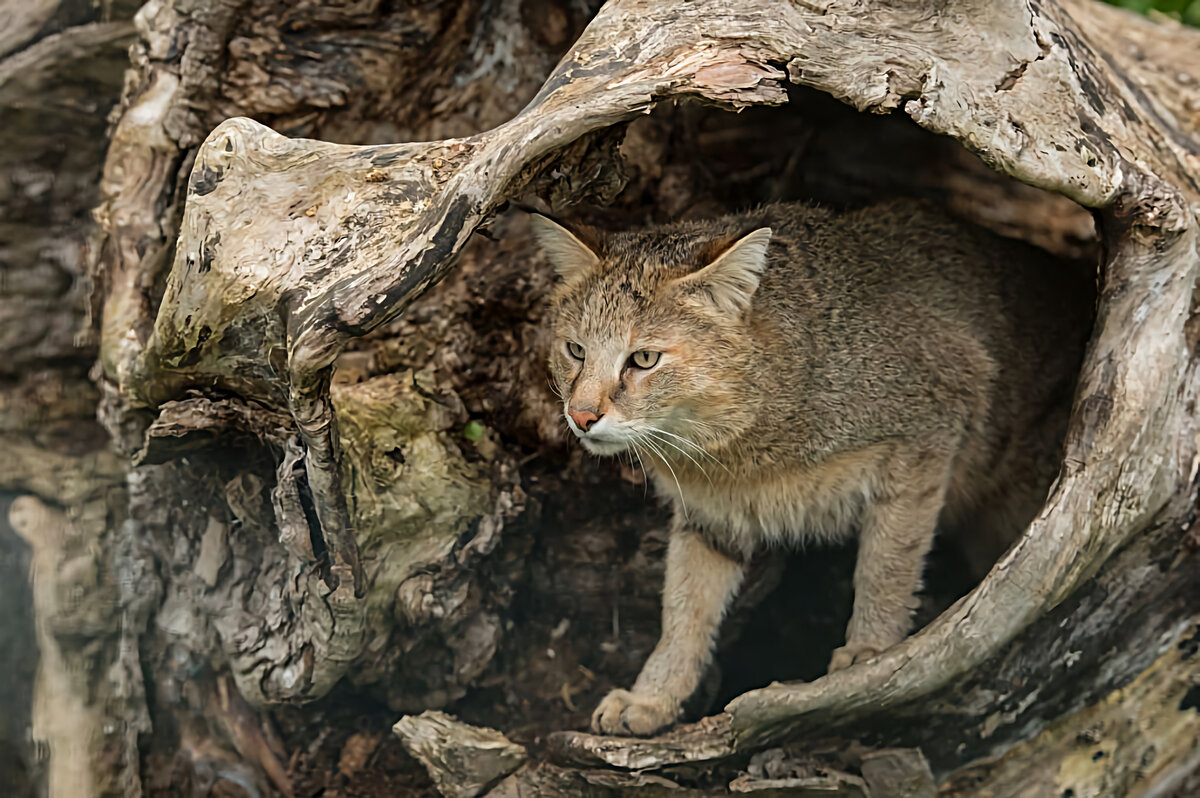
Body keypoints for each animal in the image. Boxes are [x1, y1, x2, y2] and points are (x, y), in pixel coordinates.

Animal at [535, 198, 1099, 734]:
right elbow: (682, 608)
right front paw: (653, 697)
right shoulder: (708, 519)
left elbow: (888, 562)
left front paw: (871, 652)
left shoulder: (931, 430)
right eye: (575, 350)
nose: (580, 416)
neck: (737, 451)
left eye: (644, 360)